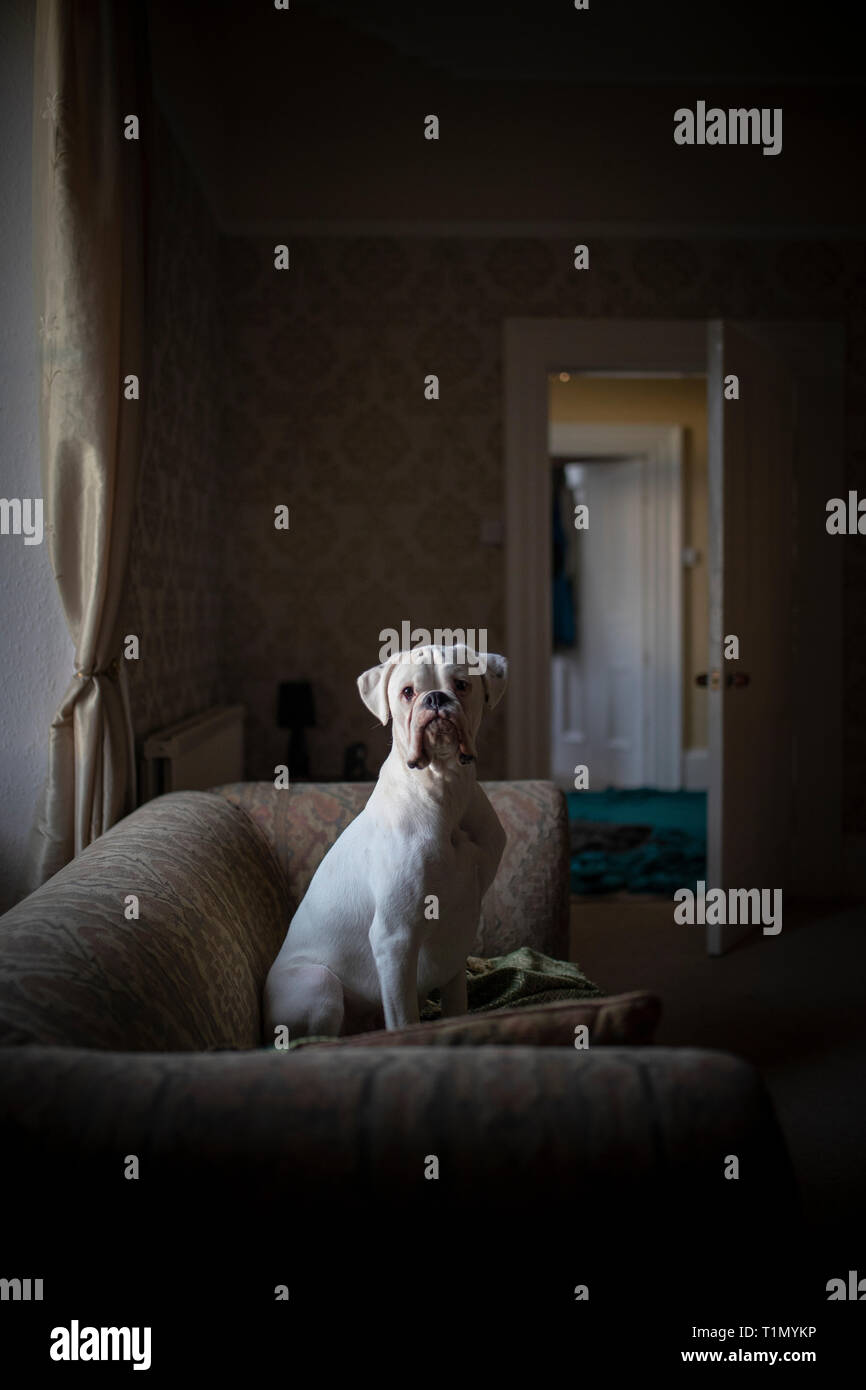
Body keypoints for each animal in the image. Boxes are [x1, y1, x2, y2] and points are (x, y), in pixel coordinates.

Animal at [264, 644, 508, 1039]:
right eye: (408, 692)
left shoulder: (458, 932)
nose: (436, 698)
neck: (443, 788)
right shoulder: (395, 938)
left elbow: (457, 1003)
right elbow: (404, 1019)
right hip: (319, 983)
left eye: (461, 684)